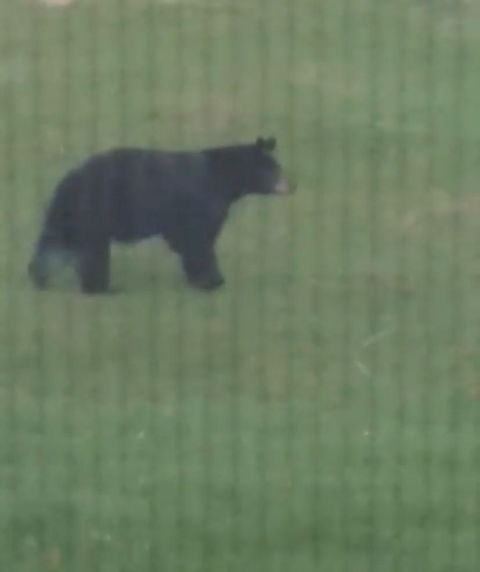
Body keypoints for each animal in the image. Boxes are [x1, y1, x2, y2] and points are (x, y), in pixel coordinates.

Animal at [30, 136, 294, 292]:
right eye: (275, 169)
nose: (293, 185)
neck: (224, 179)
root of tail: (69, 180)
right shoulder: (200, 204)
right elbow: (199, 241)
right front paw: (212, 280)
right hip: (96, 212)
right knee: (93, 252)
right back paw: (102, 287)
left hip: (67, 215)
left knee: (52, 241)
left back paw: (39, 277)